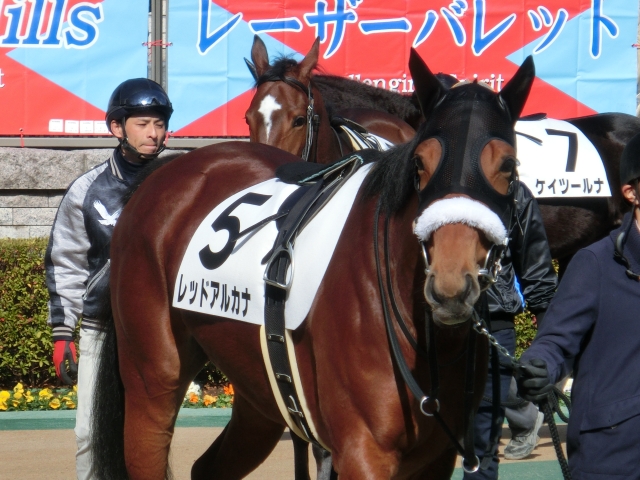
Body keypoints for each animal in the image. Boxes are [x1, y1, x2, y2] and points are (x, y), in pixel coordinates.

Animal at [91, 50, 537, 479]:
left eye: (508, 166)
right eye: (420, 164)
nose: (450, 284)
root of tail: (164, 169)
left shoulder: (436, 458)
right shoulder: (363, 452)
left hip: (258, 390)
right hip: (152, 377)